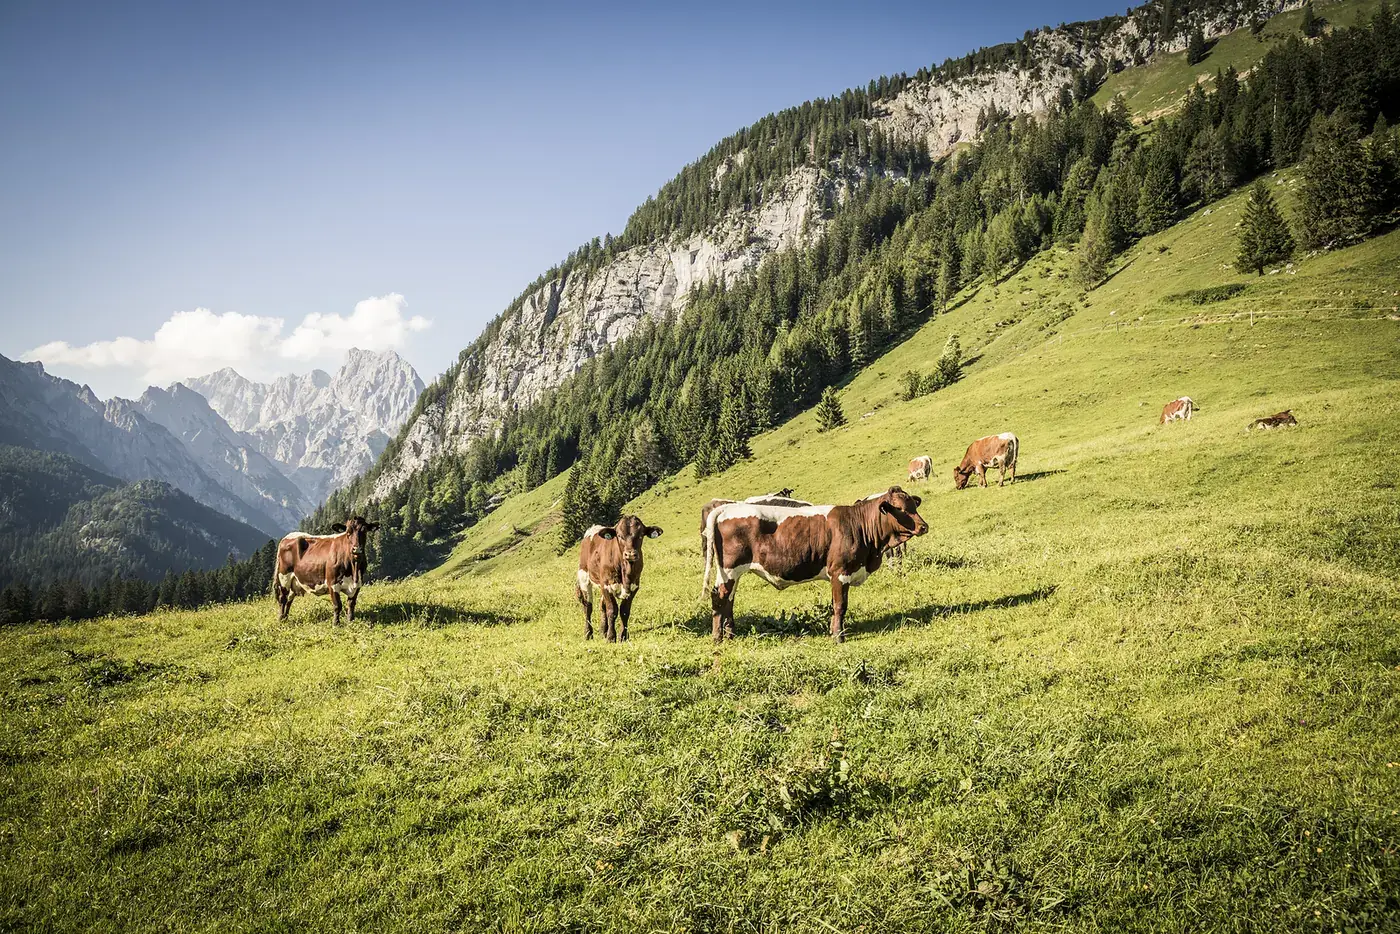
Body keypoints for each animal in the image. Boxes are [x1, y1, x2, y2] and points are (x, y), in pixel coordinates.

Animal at [702, 487, 928, 643]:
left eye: (914, 506)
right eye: (900, 509)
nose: (923, 526)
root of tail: (727, 507)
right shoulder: (840, 572)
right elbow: (840, 606)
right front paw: (838, 636)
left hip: (732, 573)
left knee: (729, 600)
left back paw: (730, 634)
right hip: (730, 570)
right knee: (719, 598)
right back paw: (717, 637)